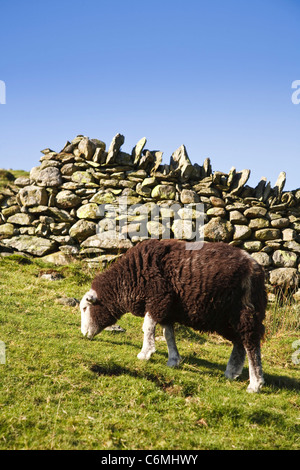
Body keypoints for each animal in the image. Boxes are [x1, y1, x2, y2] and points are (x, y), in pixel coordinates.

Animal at [80, 239, 268, 392]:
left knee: (251, 343)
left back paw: (255, 383)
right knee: (239, 342)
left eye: (84, 308)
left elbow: (147, 327)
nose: (83, 334)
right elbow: (168, 334)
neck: (129, 279)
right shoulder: (167, 310)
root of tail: (255, 267)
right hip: (227, 319)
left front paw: (145, 353)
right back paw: (232, 371)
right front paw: (173, 360)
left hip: (245, 311)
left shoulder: (158, 299)